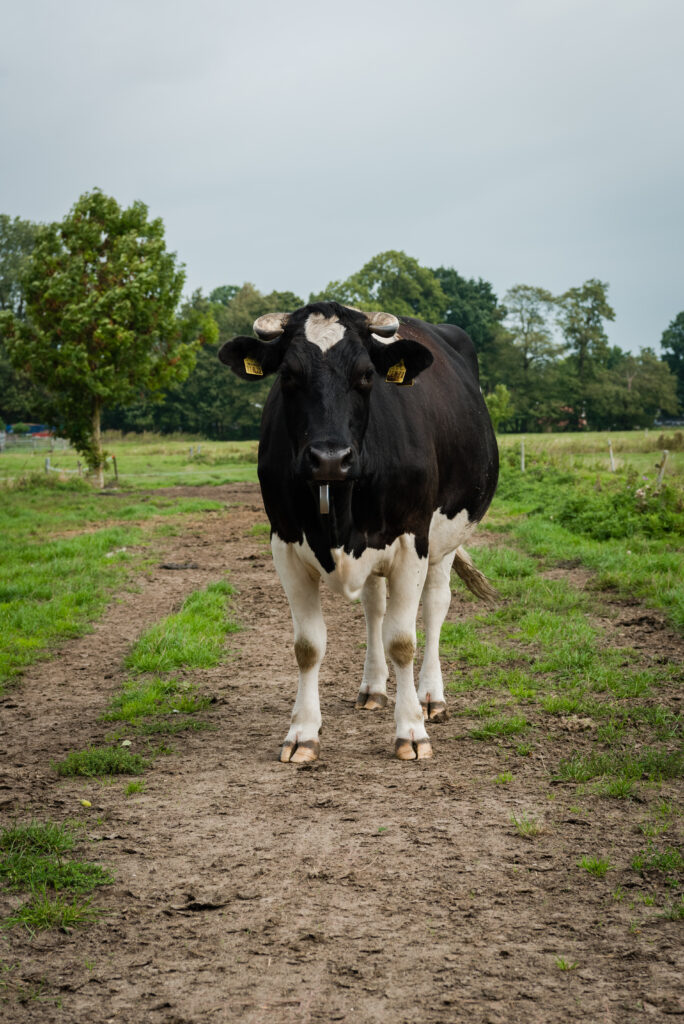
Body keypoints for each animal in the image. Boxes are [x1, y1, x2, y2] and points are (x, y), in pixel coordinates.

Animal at [218, 302, 498, 762]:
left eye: (367, 375)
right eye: (288, 374)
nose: (330, 457)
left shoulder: (411, 540)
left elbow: (403, 641)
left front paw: (411, 732)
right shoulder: (284, 544)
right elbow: (308, 646)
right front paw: (302, 733)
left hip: (445, 539)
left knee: (435, 606)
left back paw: (431, 697)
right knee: (375, 608)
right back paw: (372, 688)